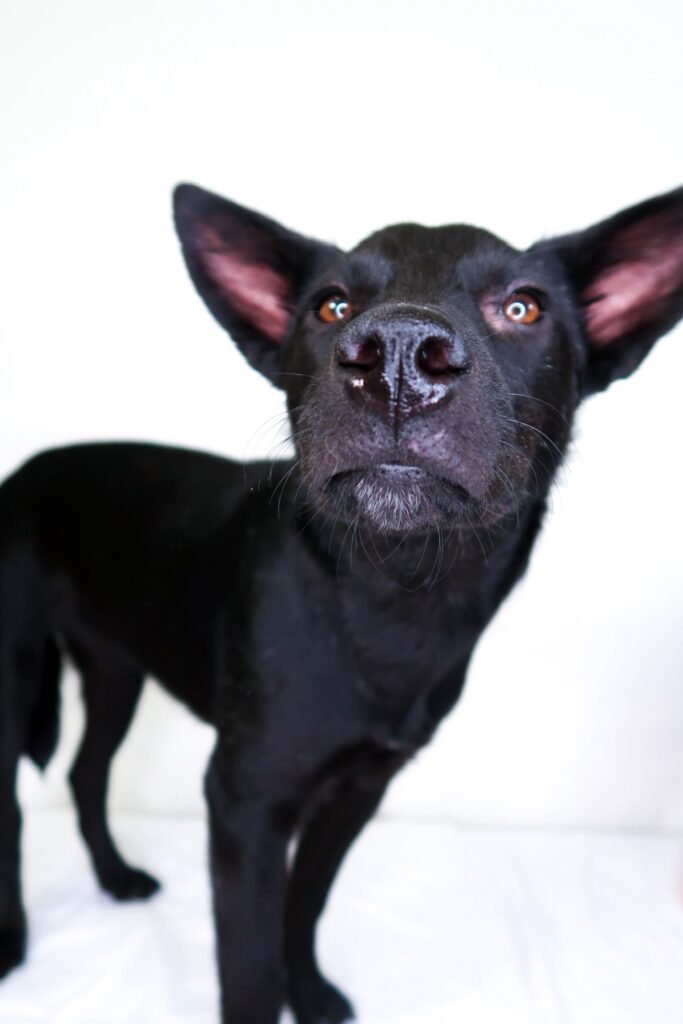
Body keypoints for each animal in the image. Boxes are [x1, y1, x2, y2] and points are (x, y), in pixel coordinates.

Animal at [0, 183, 681, 1023]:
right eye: (331, 305)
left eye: (522, 308)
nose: (396, 360)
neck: (396, 593)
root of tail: (28, 470)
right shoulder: (243, 802)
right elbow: (247, 967)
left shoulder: (358, 790)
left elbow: (306, 903)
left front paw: (312, 993)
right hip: (15, 678)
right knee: (15, 807)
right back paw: (14, 940)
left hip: (115, 670)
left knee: (85, 773)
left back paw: (116, 878)